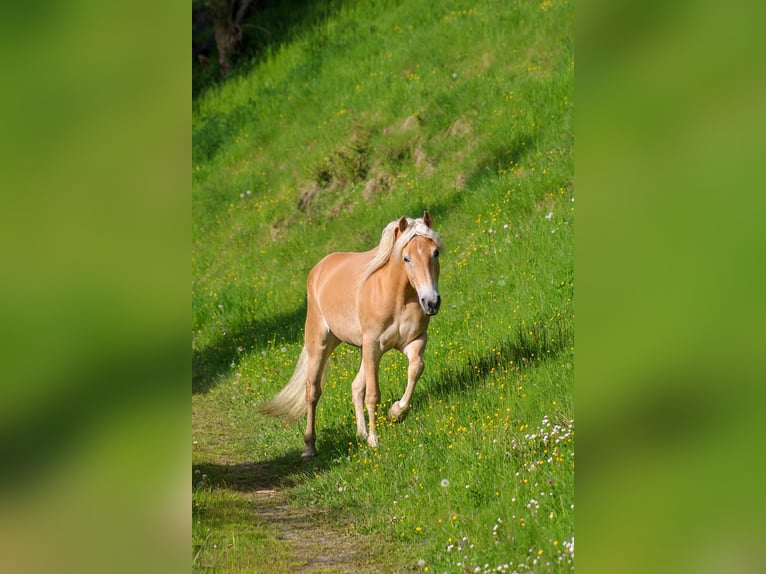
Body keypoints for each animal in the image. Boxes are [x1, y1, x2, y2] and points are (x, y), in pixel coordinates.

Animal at [260, 212, 448, 460]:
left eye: (435, 252)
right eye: (406, 258)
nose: (431, 302)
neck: (397, 296)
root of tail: (319, 269)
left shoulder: (413, 341)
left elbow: (416, 369)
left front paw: (395, 412)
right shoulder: (373, 346)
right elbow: (373, 395)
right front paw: (375, 441)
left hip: (362, 351)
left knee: (355, 387)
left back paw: (361, 434)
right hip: (321, 344)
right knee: (312, 391)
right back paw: (310, 446)